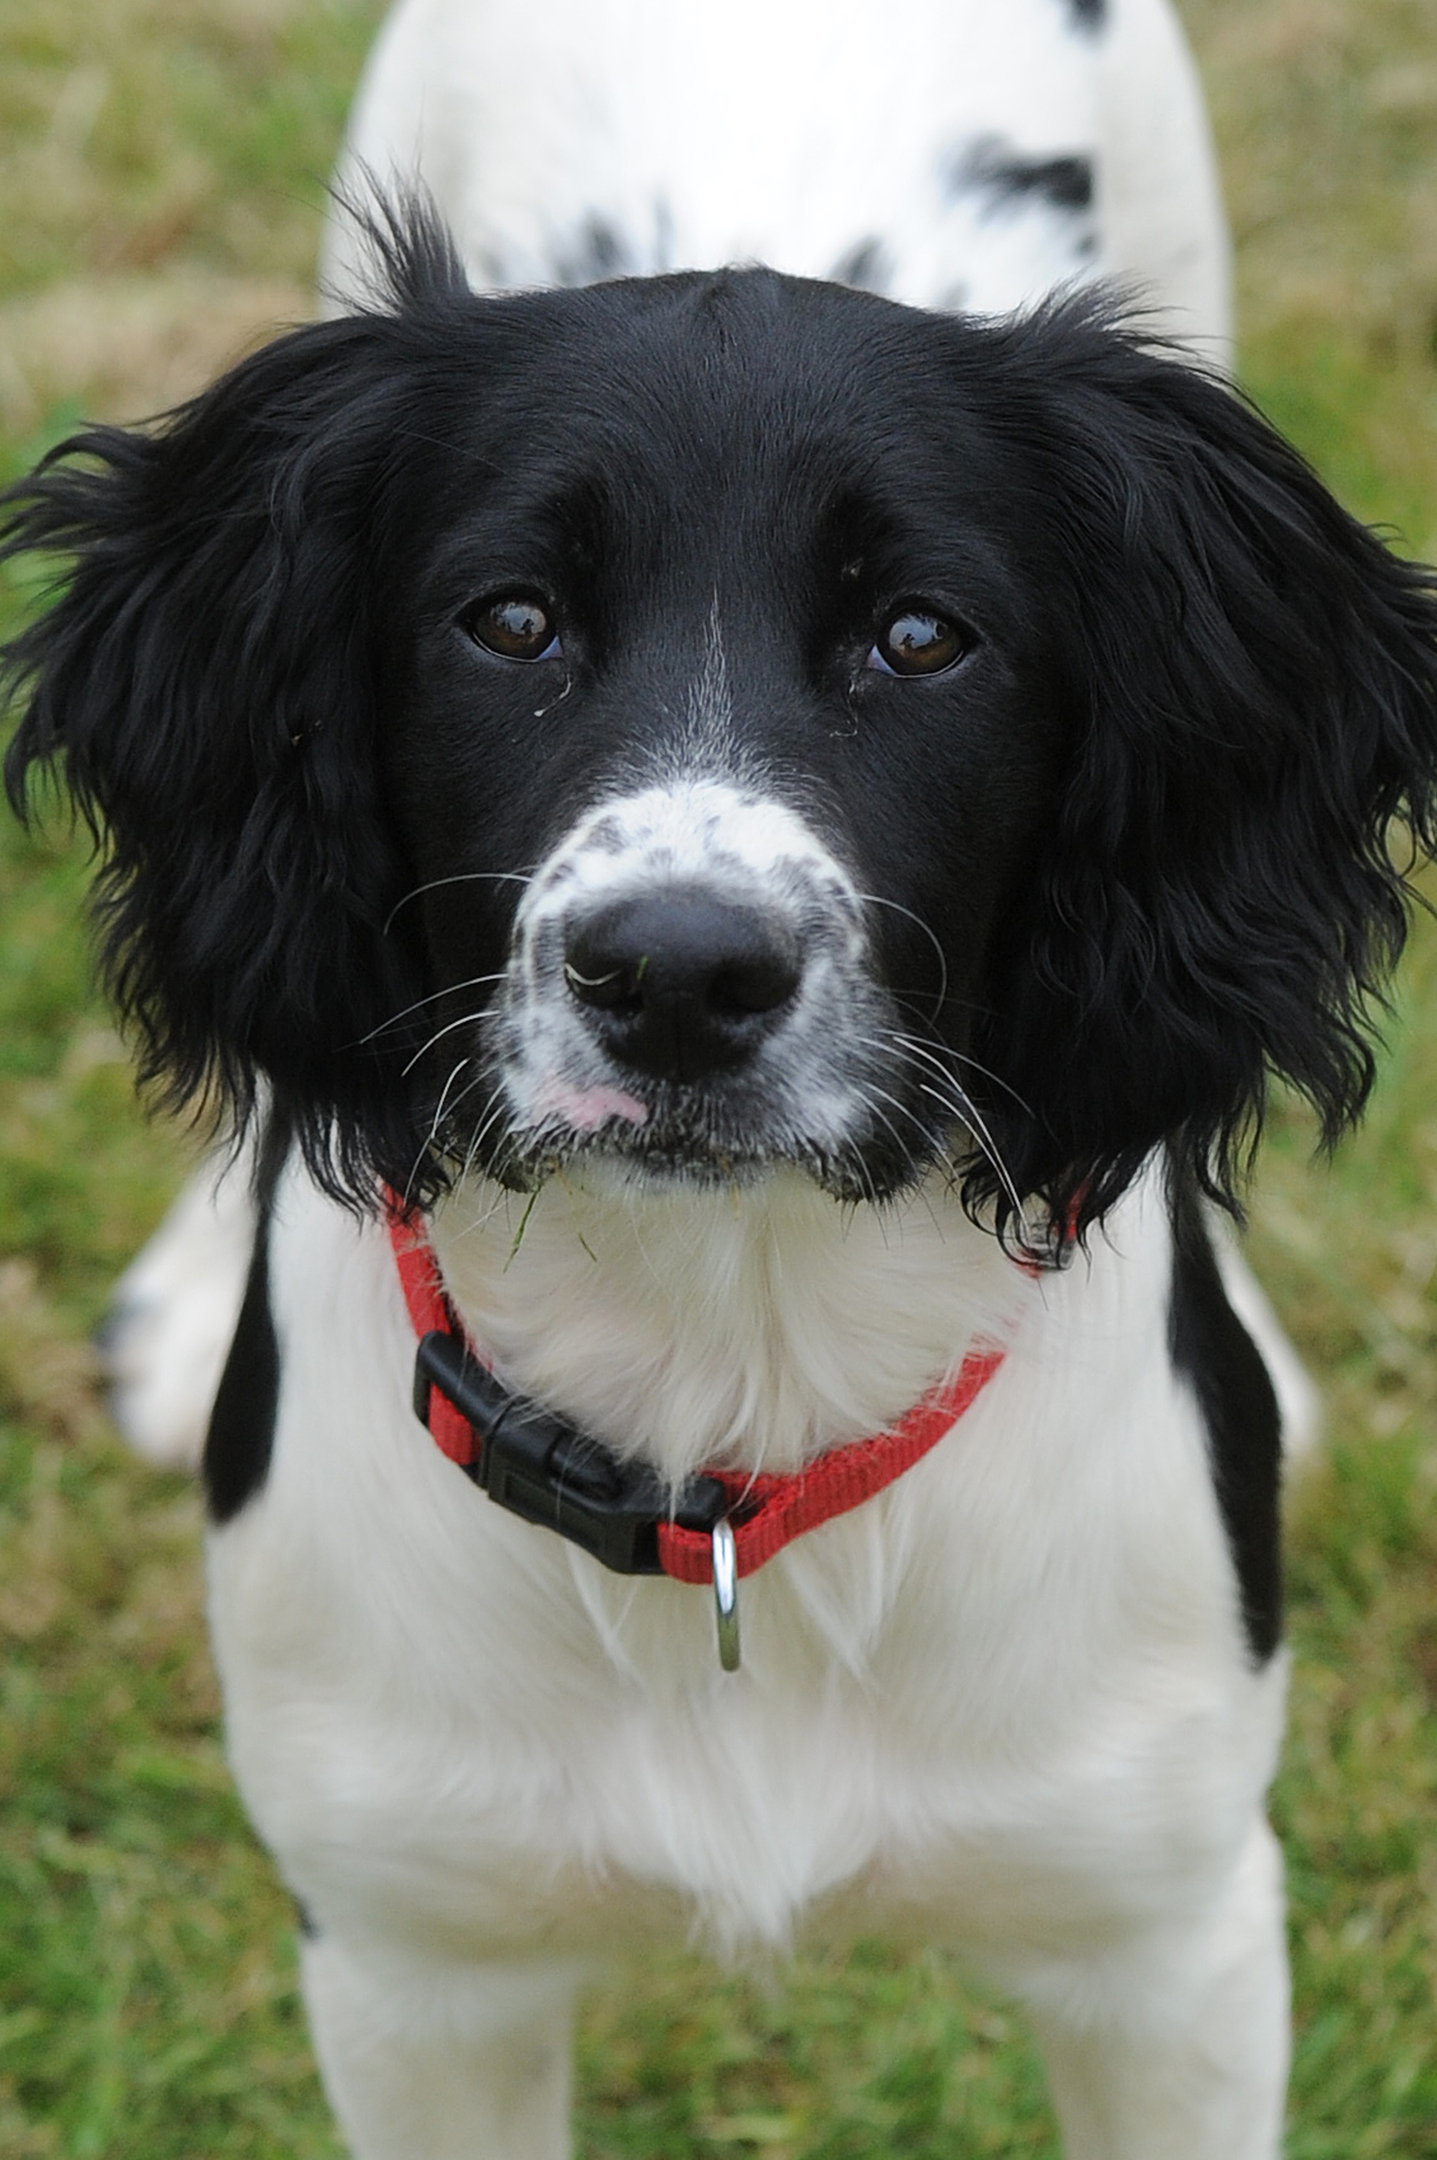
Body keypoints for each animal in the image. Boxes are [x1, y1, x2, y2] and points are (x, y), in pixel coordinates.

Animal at [5, 4, 1426, 2160]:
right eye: (508, 620)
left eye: (920, 636)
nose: (677, 976)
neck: (729, 1368)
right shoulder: (413, 1954)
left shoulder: (1165, 1928)